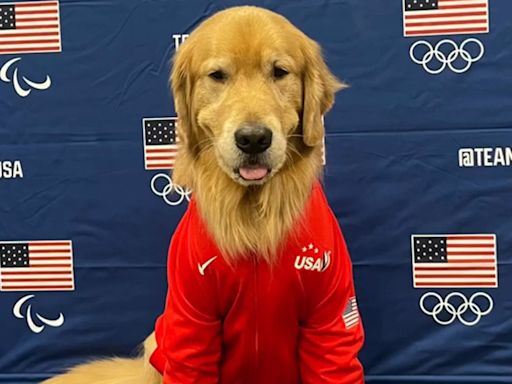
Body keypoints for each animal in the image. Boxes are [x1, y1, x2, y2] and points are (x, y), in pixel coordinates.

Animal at [43, 6, 364, 384]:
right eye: (217, 75)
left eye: (279, 72)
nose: (253, 139)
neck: (253, 216)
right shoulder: (192, 325)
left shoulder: (331, 321)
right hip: (159, 340)